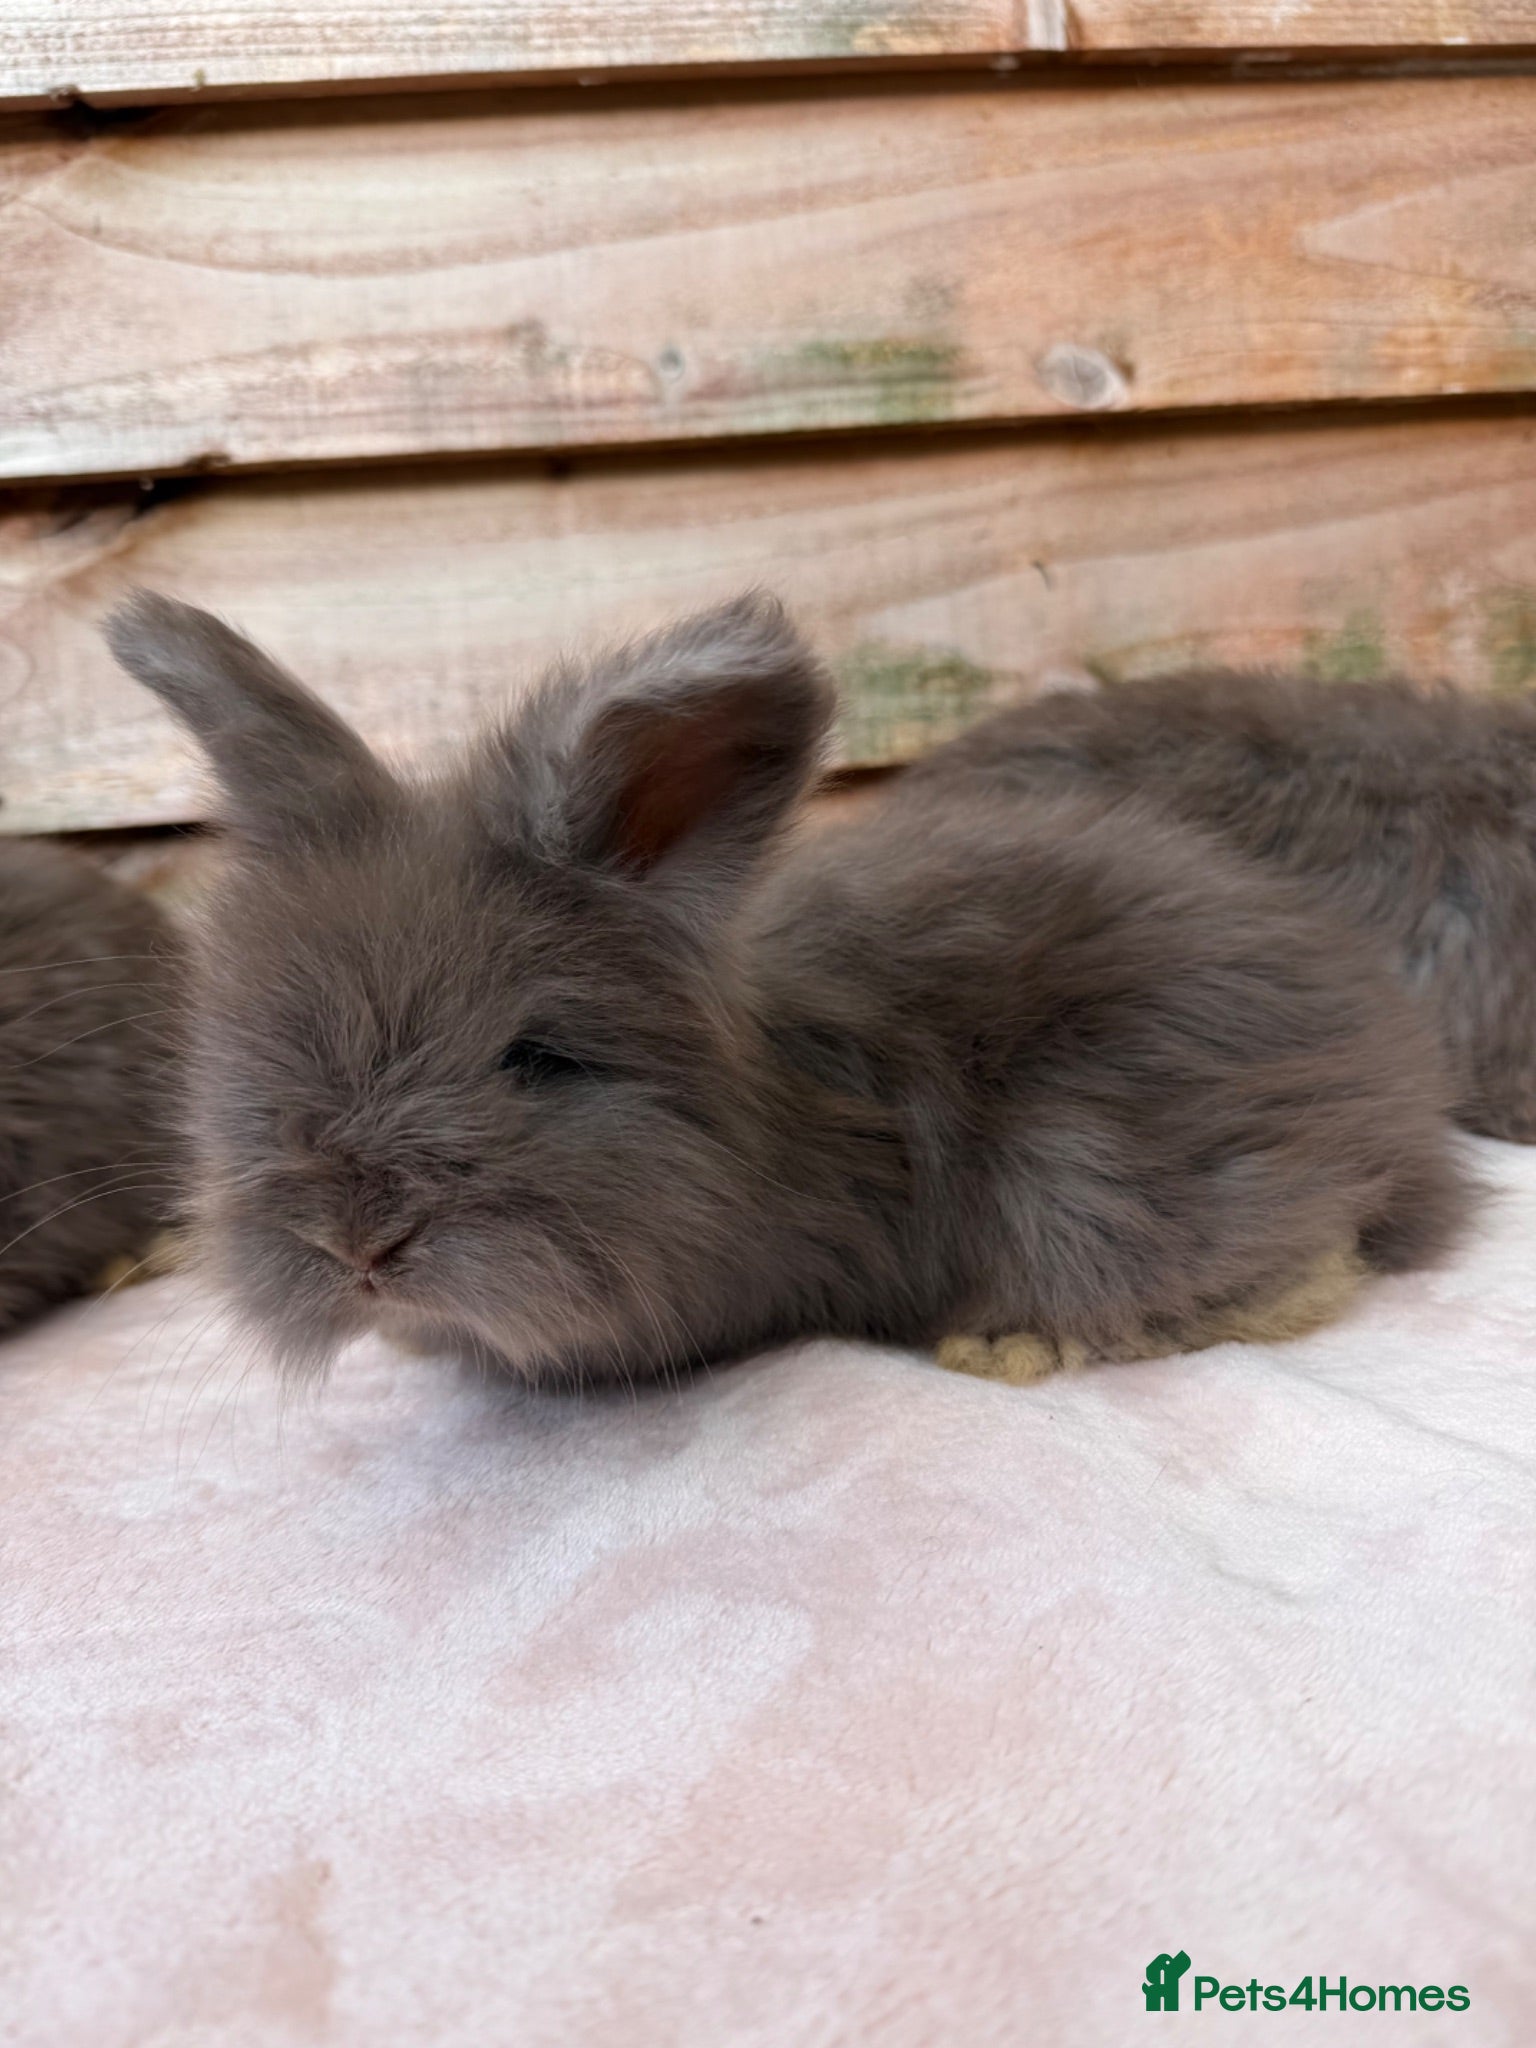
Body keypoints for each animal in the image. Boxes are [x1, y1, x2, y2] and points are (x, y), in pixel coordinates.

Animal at [103, 589, 1472, 1389]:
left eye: (536, 1059)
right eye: (252, 1057)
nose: (357, 1247)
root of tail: (1400, 1087)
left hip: (1096, 1158)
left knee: (1305, 1258)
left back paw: (1015, 1338)